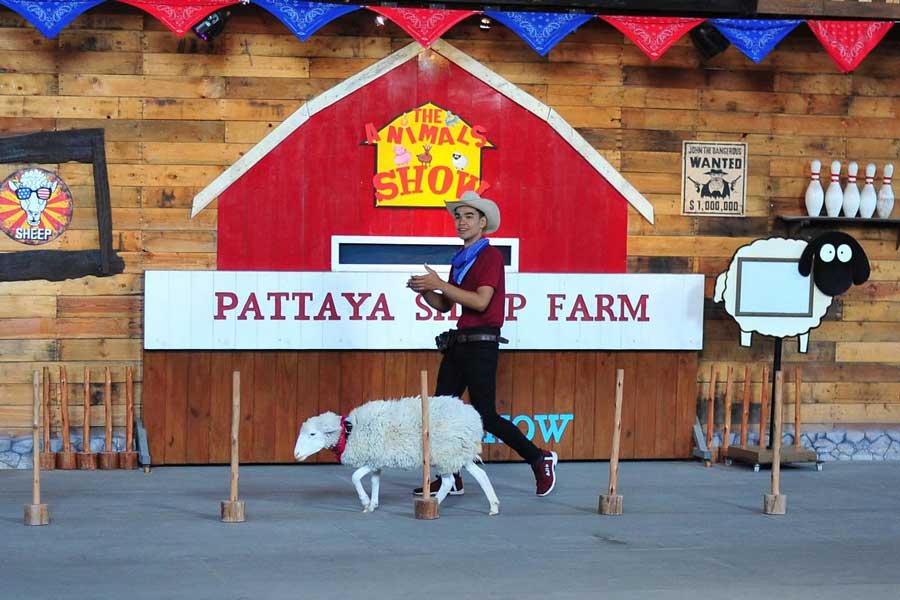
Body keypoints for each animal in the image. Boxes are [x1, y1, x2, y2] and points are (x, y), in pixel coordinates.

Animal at [294, 394, 500, 516]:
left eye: (312, 434)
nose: (295, 454)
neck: (350, 431)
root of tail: (474, 418)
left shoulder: (373, 457)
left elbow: (355, 477)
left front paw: (365, 501)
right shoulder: (376, 461)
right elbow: (375, 482)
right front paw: (373, 504)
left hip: (446, 453)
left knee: (449, 481)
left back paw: (434, 504)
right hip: (457, 453)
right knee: (479, 475)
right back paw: (493, 506)